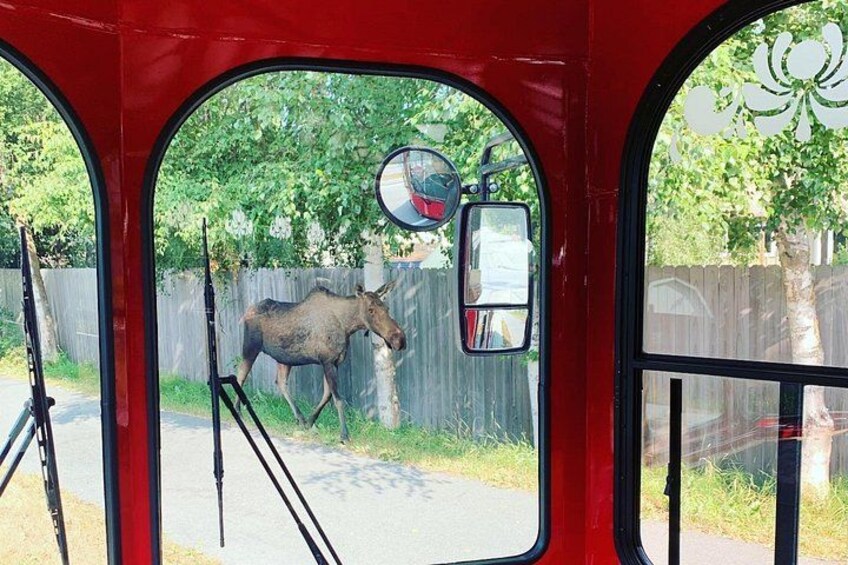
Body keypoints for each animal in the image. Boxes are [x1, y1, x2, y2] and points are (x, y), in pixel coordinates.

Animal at [235, 281, 406, 442]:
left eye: (387, 308)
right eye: (371, 309)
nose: (400, 339)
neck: (347, 326)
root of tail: (246, 312)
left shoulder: (334, 362)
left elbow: (327, 395)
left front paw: (310, 421)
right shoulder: (327, 361)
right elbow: (338, 399)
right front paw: (344, 434)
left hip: (284, 358)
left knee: (281, 382)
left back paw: (300, 418)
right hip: (250, 347)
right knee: (241, 375)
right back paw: (238, 412)